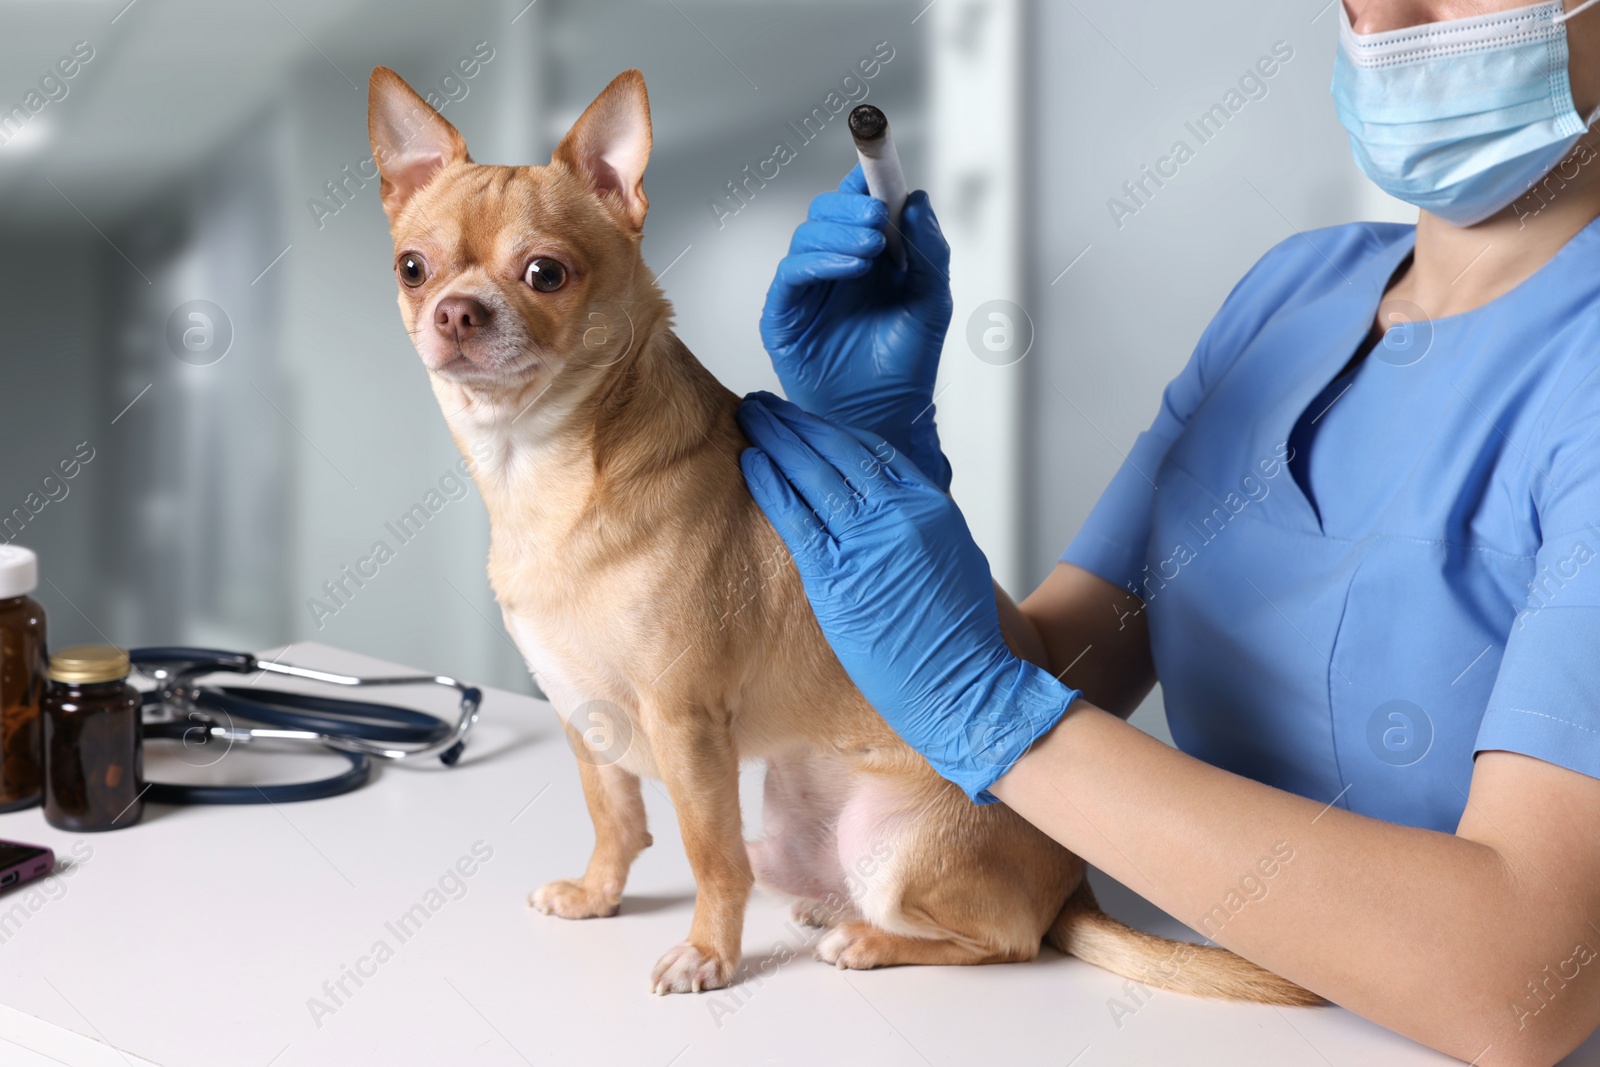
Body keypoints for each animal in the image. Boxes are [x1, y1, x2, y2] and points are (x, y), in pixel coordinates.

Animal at [368, 64, 1318, 1004]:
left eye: (545, 273)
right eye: (412, 269)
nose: (455, 311)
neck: (544, 472)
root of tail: (1074, 881)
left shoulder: (687, 727)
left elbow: (708, 858)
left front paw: (709, 953)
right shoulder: (583, 714)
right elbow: (618, 818)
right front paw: (599, 893)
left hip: (899, 849)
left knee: (1000, 941)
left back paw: (869, 939)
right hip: (791, 810)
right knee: (797, 871)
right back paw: (827, 905)